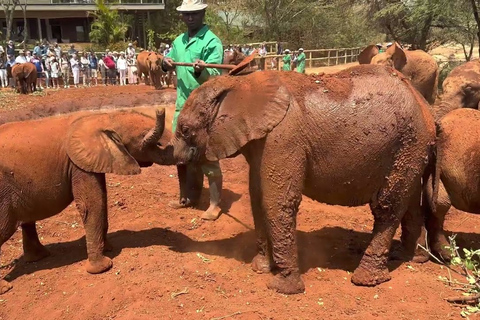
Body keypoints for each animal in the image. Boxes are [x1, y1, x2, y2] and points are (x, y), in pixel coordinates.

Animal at [0, 106, 175, 294]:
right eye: (146, 137)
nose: (160, 110)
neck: (103, 118)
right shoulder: (77, 164)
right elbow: (92, 204)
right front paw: (103, 267)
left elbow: (102, 198)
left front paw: (108, 248)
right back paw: (6, 288)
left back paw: (39, 257)